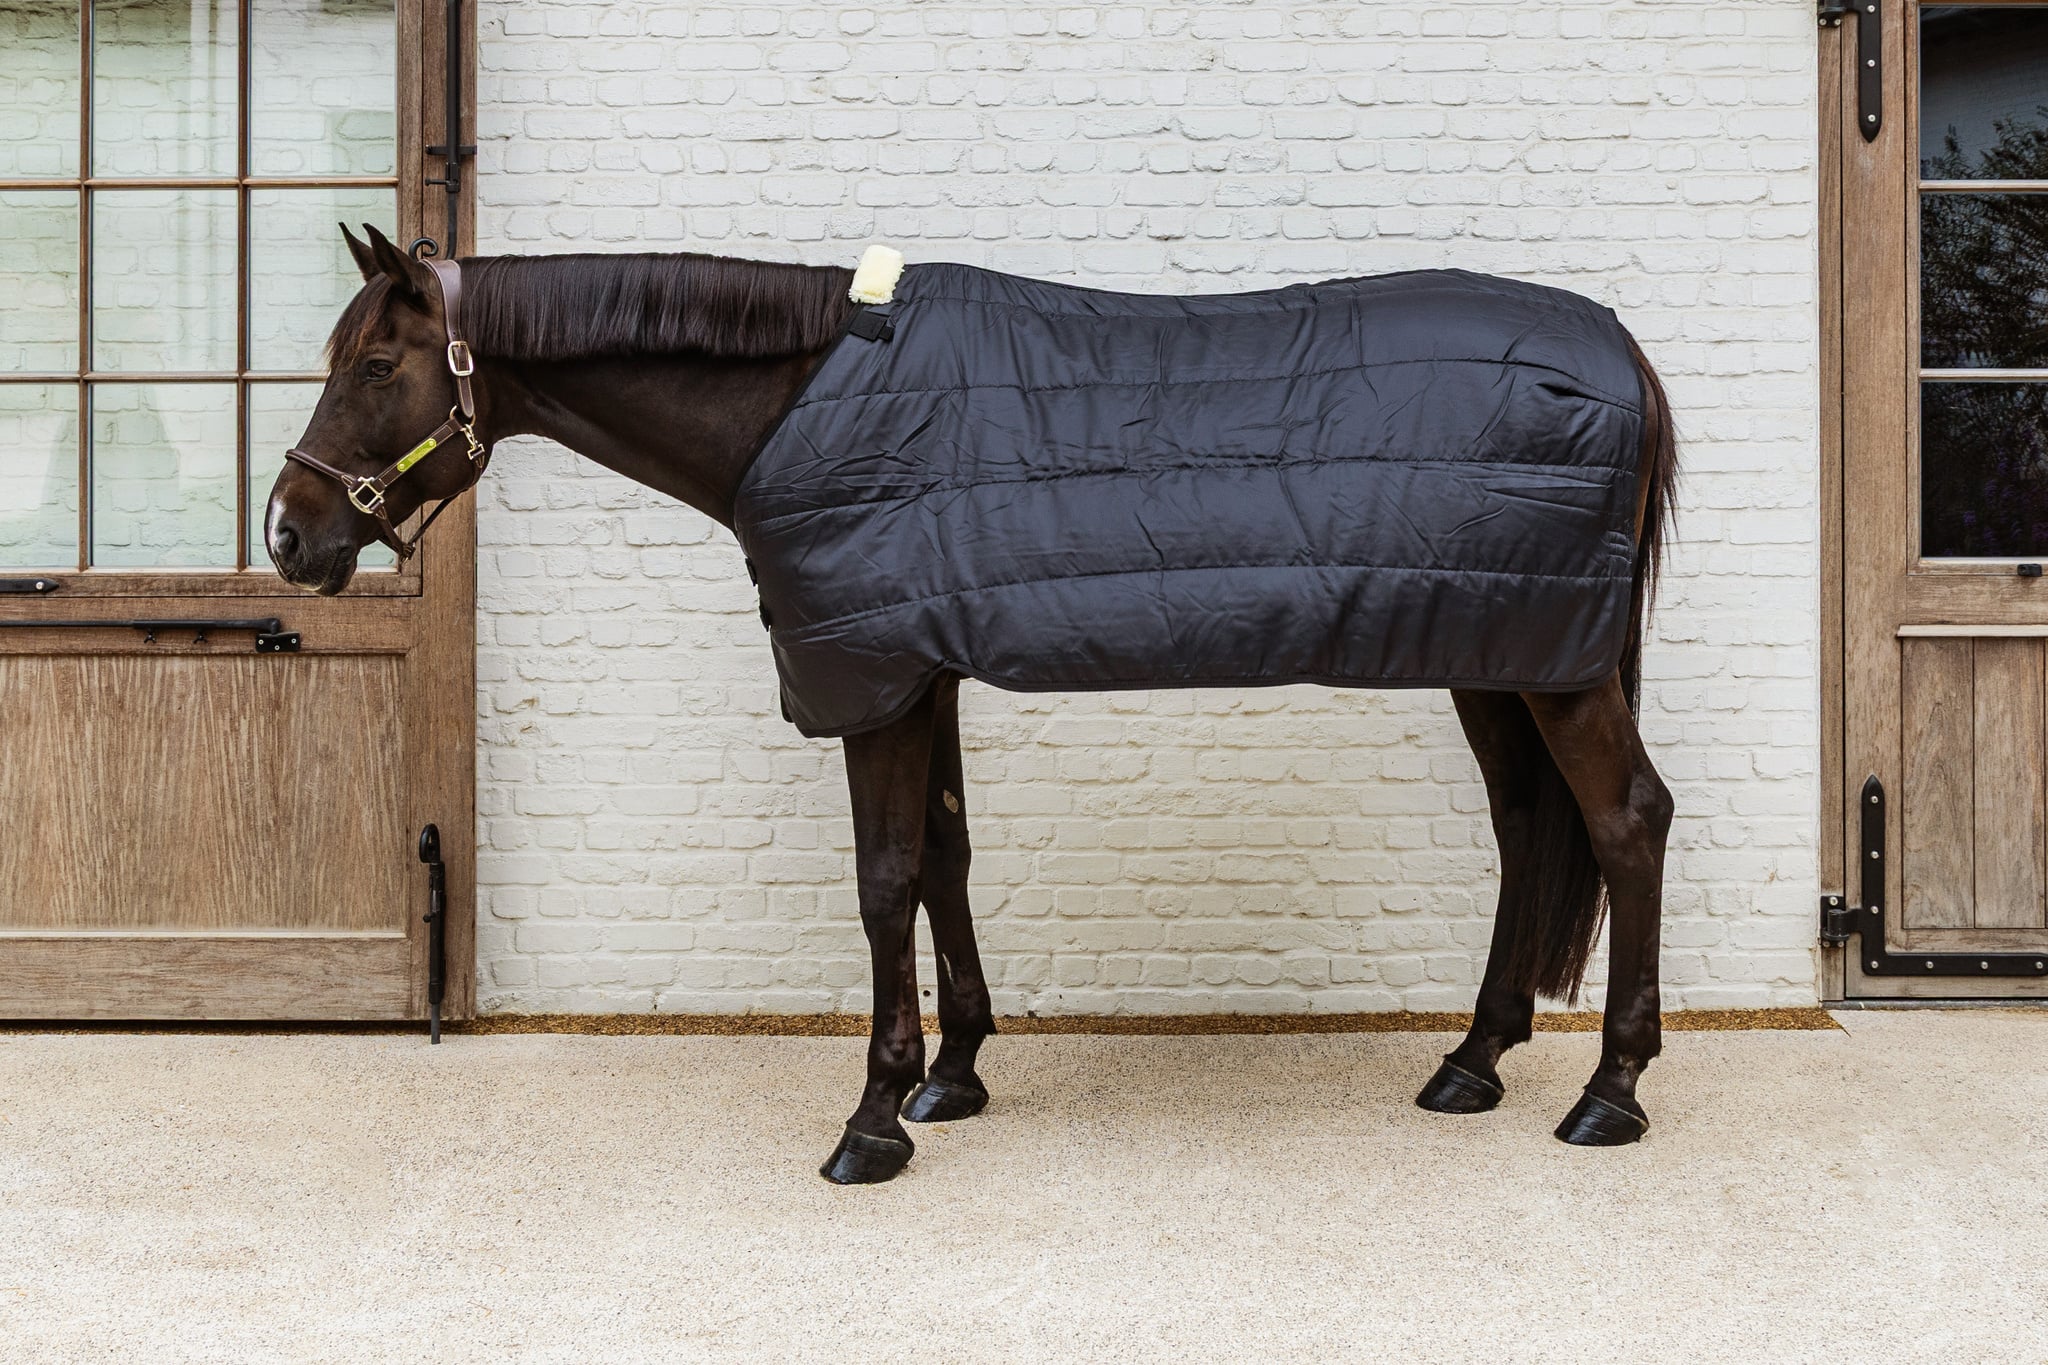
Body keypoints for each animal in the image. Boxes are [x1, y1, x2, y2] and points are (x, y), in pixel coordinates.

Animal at [269, 224, 1678, 1184]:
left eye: (379, 363)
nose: (288, 535)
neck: (801, 406)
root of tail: (1617, 349)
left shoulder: (873, 680)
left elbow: (884, 876)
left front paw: (872, 1117)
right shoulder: (917, 666)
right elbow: (944, 856)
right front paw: (952, 1075)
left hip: (1551, 664)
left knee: (1624, 821)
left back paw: (1607, 1093)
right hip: (1499, 648)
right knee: (1525, 829)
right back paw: (1472, 1061)